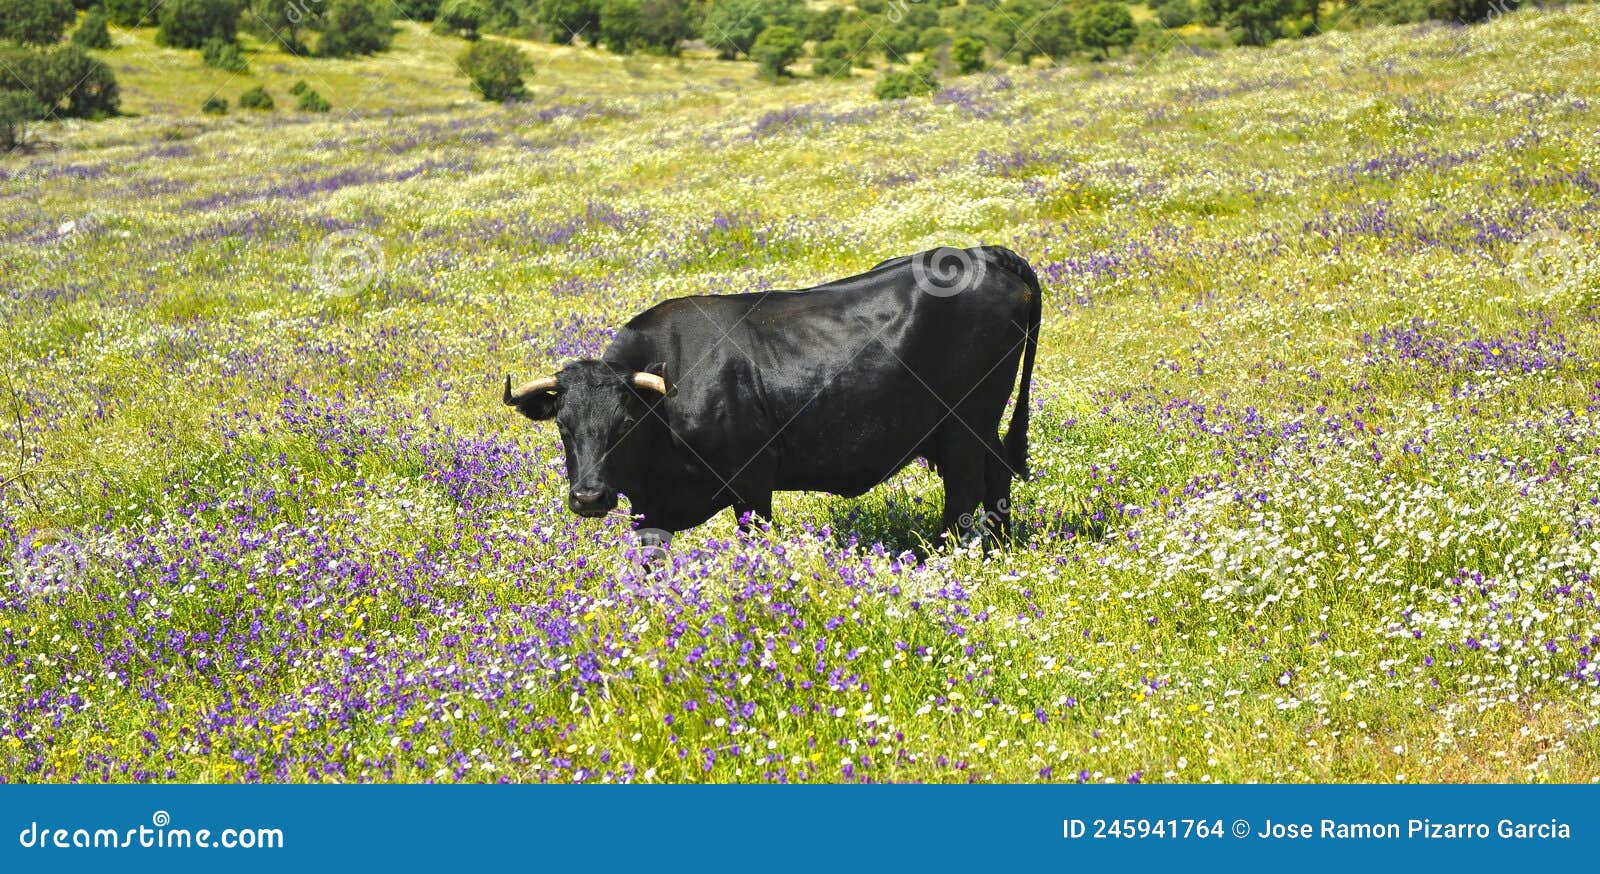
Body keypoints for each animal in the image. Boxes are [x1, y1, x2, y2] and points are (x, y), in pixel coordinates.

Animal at [505, 244, 1043, 544]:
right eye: (563, 427)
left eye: (625, 423)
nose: (589, 497)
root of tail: (980, 253)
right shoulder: (651, 510)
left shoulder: (753, 482)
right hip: (975, 429)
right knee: (996, 480)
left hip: (965, 425)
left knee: (965, 493)